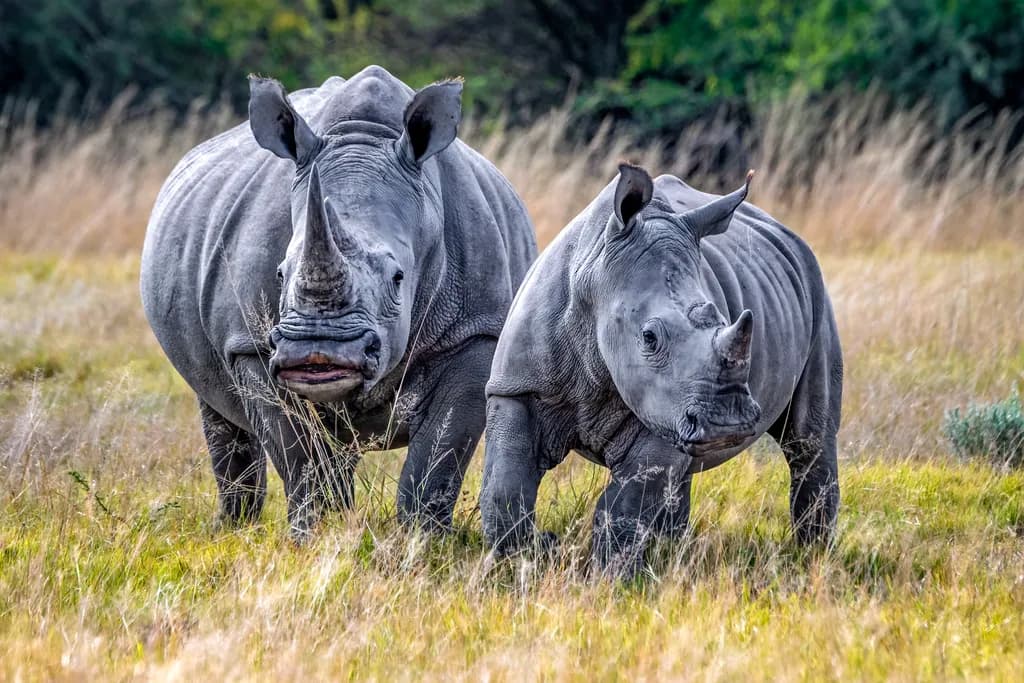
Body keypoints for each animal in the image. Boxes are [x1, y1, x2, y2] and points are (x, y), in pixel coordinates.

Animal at [141, 66, 536, 539]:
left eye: (398, 278)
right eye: (280, 273)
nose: (319, 353)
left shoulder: (476, 331)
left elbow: (437, 455)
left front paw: (421, 541)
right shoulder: (251, 346)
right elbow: (298, 457)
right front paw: (313, 537)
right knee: (224, 413)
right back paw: (235, 529)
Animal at [480, 163, 842, 576]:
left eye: (723, 319)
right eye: (649, 337)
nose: (727, 425)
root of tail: (788, 233)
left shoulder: (666, 410)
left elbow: (625, 505)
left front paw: (611, 579)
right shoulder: (517, 387)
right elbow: (504, 486)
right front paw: (529, 558)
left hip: (816, 289)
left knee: (809, 441)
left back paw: (813, 558)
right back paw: (673, 553)